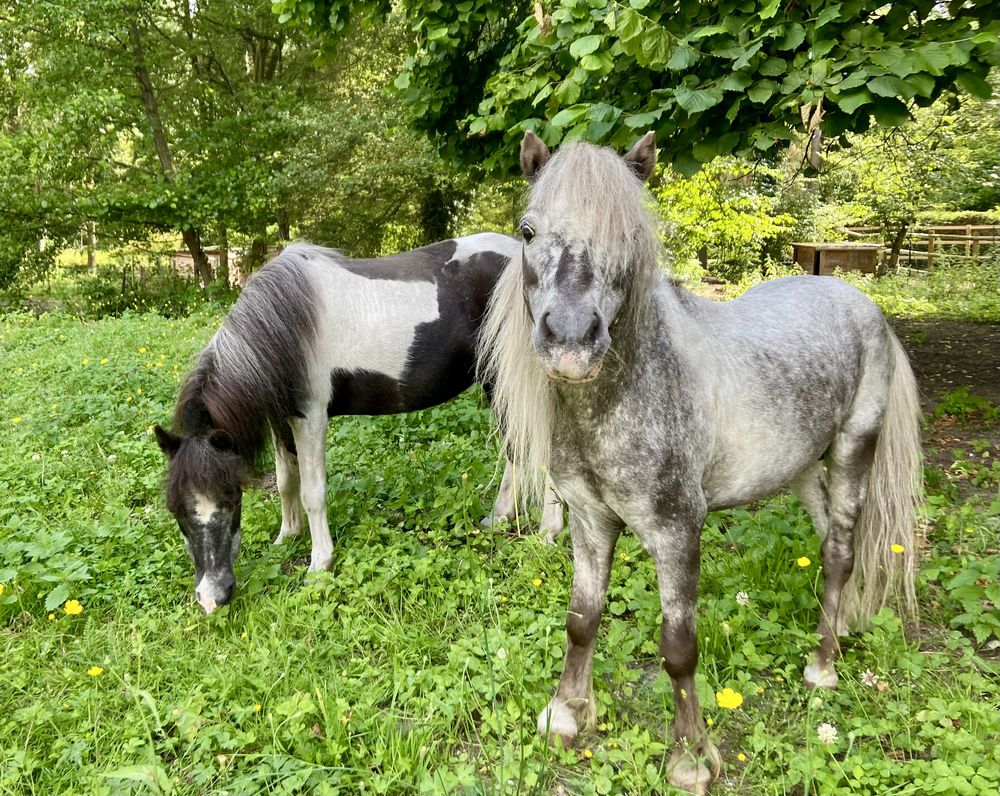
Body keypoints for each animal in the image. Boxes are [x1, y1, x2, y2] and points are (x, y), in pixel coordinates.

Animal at [154, 234, 564, 615]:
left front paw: (319, 563)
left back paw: (548, 533)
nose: (212, 597)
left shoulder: (310, 417)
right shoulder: (280, 418)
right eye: (175, 510)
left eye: (230, 498)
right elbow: (286, 481)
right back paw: (499, 518)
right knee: (515, 449)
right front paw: (287, 535)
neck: (287, 323)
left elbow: (313, 492)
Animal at [477, 132, 922, 794]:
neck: (626, 394)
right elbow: (582, 619)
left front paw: (690, 758)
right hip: (801, 469)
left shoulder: (677, 530)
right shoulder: (589, 521)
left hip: (851, 453)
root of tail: (862, 305)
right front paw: (566, 715)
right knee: (829, 550)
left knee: (841, 552)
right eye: (527, 231)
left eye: (629, 237)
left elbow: (678, 647)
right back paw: (840, 629)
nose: (571, 342)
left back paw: (822, 667)